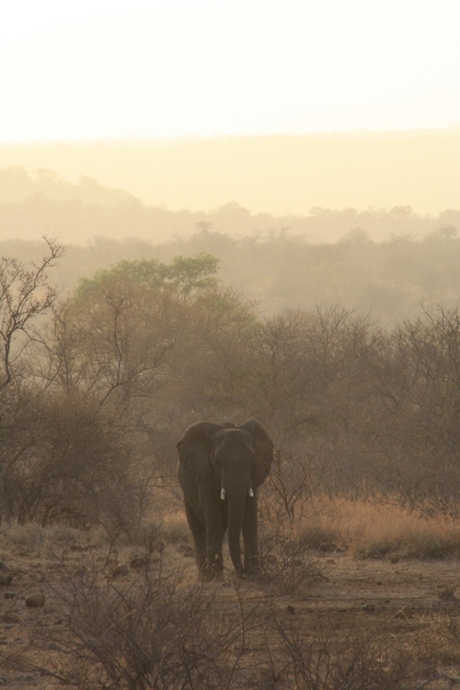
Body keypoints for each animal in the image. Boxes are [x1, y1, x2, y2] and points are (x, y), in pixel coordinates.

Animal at [177, 420, 274, 576]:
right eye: (217, 462)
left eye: (252, 460)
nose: (241, 572)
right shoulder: (206, 476)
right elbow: (214, 518)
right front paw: (214, 577)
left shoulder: (254, 477)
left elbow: (249, 518)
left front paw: (254, 574)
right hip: (187, 497)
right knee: (198, 531)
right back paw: (204, 574)